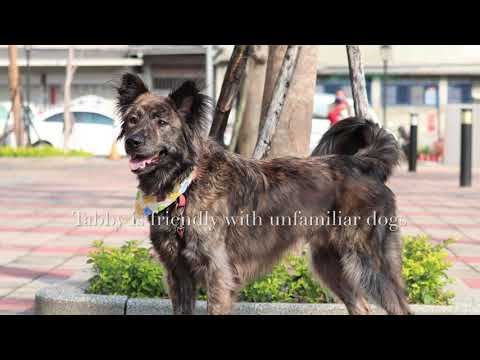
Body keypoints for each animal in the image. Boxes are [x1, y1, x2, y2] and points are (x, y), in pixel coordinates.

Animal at [116, 73, 412, 316]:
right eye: (132, 120)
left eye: (161, 122)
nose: (132, 142)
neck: (186, 184)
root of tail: (360, 163)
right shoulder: (178, 274)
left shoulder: (218, 275)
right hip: (331, 264)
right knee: (361, 306)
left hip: (370, 264)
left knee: (400, 308)